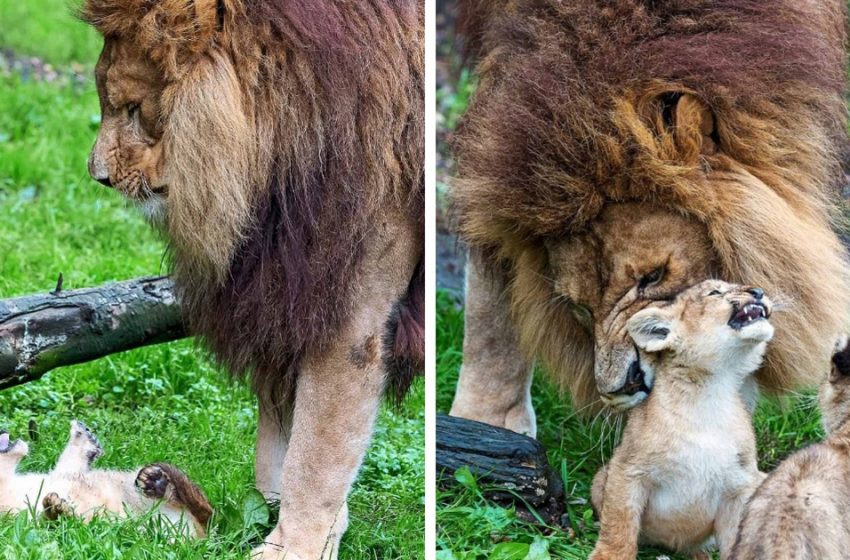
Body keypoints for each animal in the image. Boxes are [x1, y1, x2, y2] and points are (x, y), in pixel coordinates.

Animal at [80, 2, 424, 556]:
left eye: (132, 108)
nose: (99, 177)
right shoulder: (286, 293)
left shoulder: (349, 319)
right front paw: (292, 520)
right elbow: (278, 440)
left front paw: (291, 546)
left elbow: (314, 455)